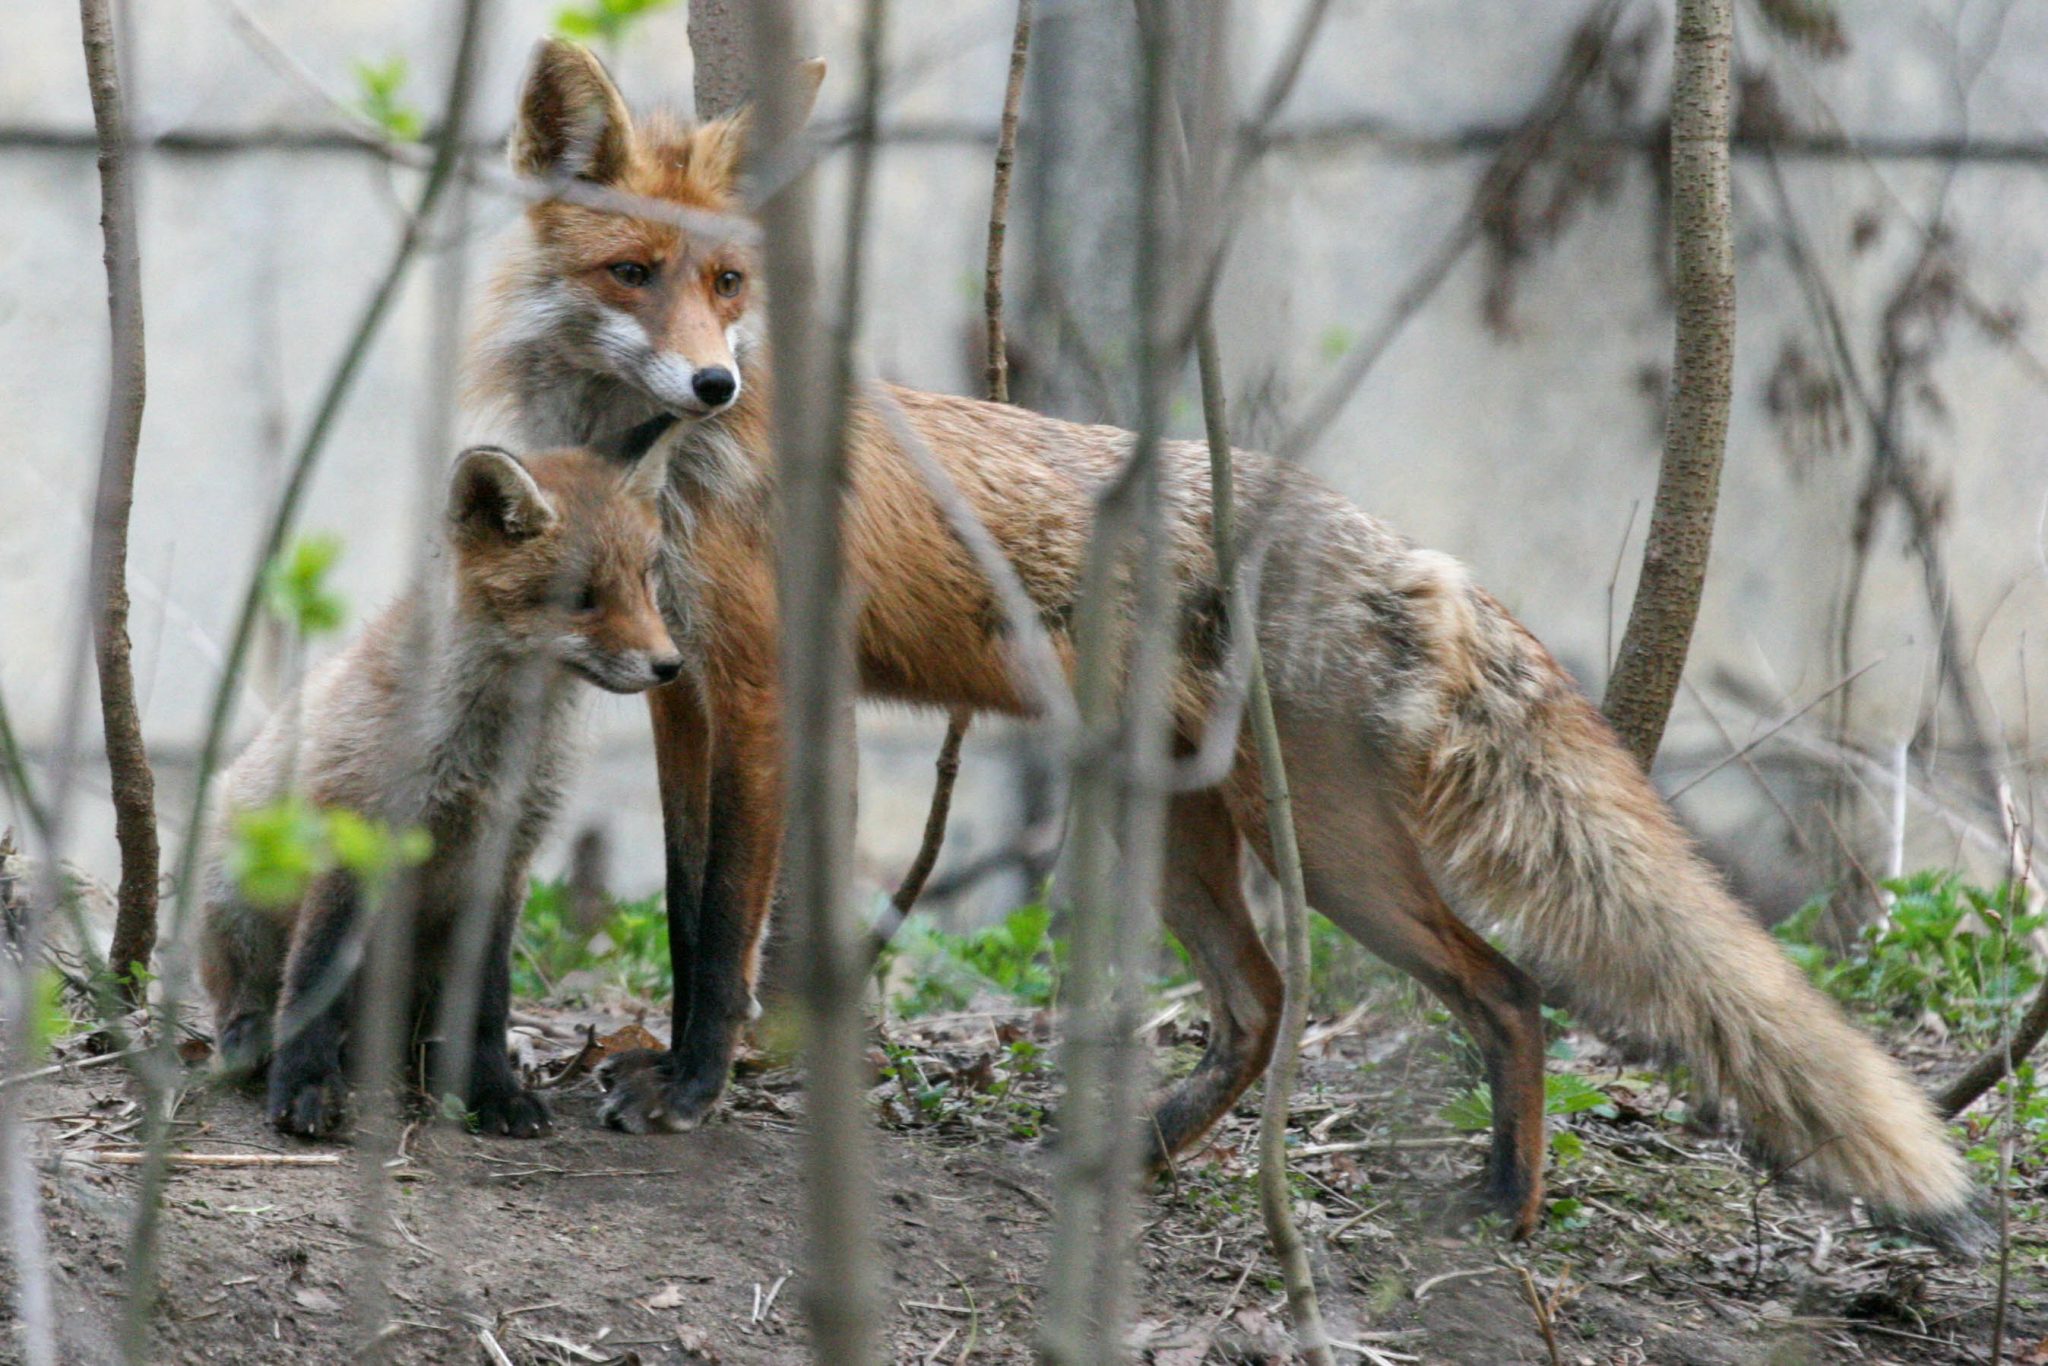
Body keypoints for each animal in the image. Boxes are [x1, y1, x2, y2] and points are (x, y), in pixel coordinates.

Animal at [200, 428, 679, 1146]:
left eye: (647, 582)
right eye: (581, 597)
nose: (671, 665)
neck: (488, 757)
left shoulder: (505, 860)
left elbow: (487, 999)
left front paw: (494, 1092)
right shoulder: (354, 835)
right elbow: (313, 975)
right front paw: (305, 1086)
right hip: (235, 889)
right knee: (249, 992)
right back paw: (254, 1039)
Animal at [468, 37, 1982, 1245]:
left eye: (729, 282)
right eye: (633, 271)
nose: (714, 382)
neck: (657, 475)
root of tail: (1420, 555)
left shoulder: (763, 691)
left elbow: (723, 928)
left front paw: (693, 1088)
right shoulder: (682, 696)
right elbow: (682, 905)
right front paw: (666, 1068)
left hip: (1331, 846)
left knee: (1502, 991)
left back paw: (1508, 1205)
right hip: (1169, 829)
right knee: (1259, 1005)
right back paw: (1137, 1154)